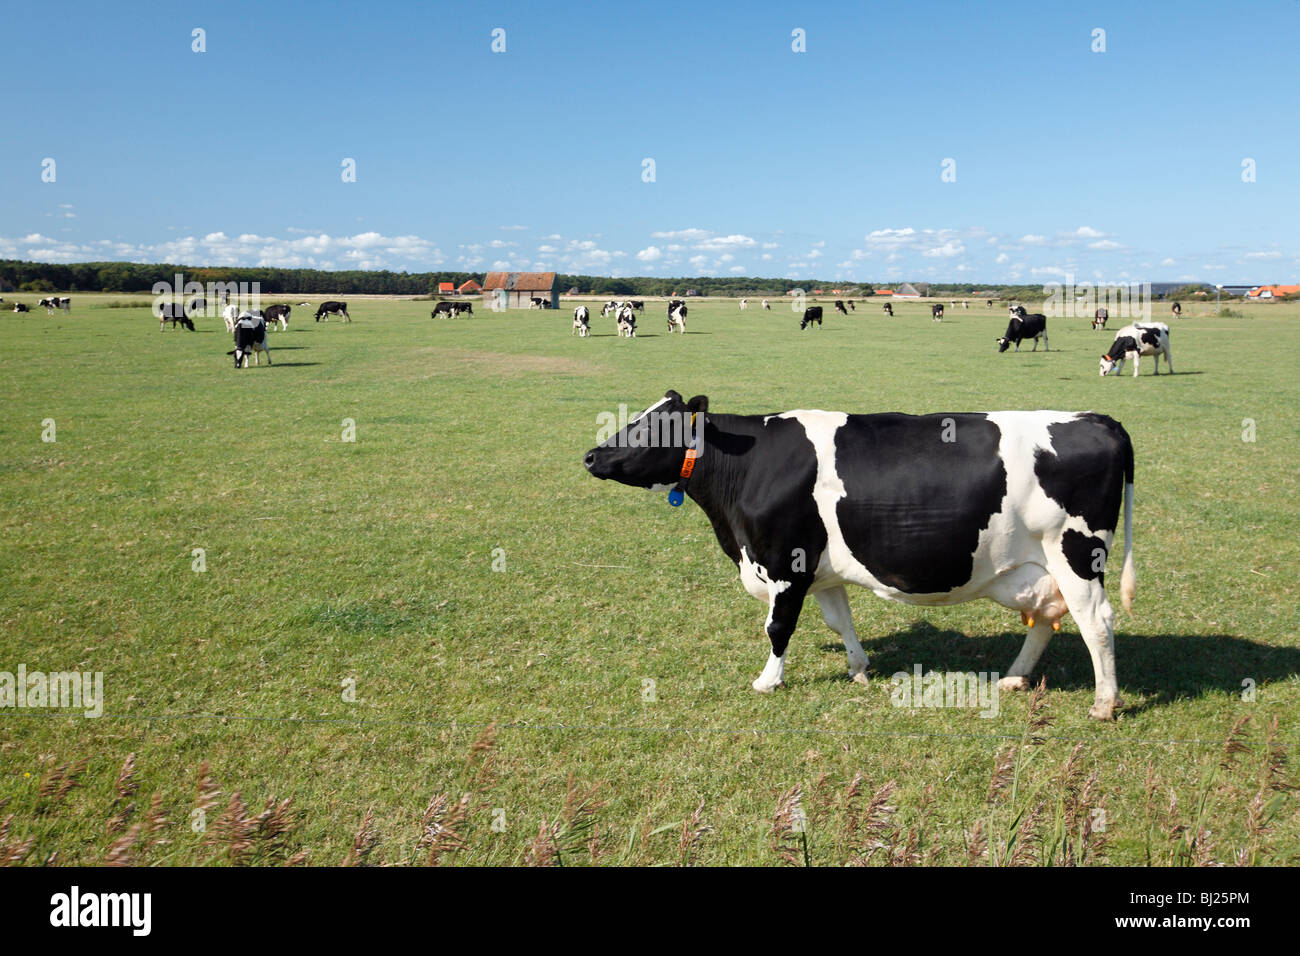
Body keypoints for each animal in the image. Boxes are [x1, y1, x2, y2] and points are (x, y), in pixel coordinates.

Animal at [585, 390, 1133, 717]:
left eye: (651, 427)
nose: (590, 456)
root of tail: (1098, 419)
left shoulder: (785, 562)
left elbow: (778, 626)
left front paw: (767, 680)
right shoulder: (821, 570)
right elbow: (839, 621)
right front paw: (859, 667)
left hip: (1077, 554)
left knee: (1096, 622)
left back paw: (1104, 704)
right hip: (1044, 567)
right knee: (1048, 619)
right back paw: (1015, 679)